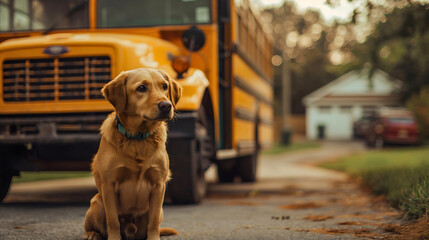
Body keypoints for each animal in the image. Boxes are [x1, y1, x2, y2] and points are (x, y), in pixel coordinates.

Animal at [83, 68, 181, 240]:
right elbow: (113, 220)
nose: (166, 105)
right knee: (94, 226)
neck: (138, 138)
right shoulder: (109, 184)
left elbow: (154, 221)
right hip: (97, 203)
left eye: (164, 86)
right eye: (141, 88)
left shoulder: (159, 184)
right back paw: (92, 234)